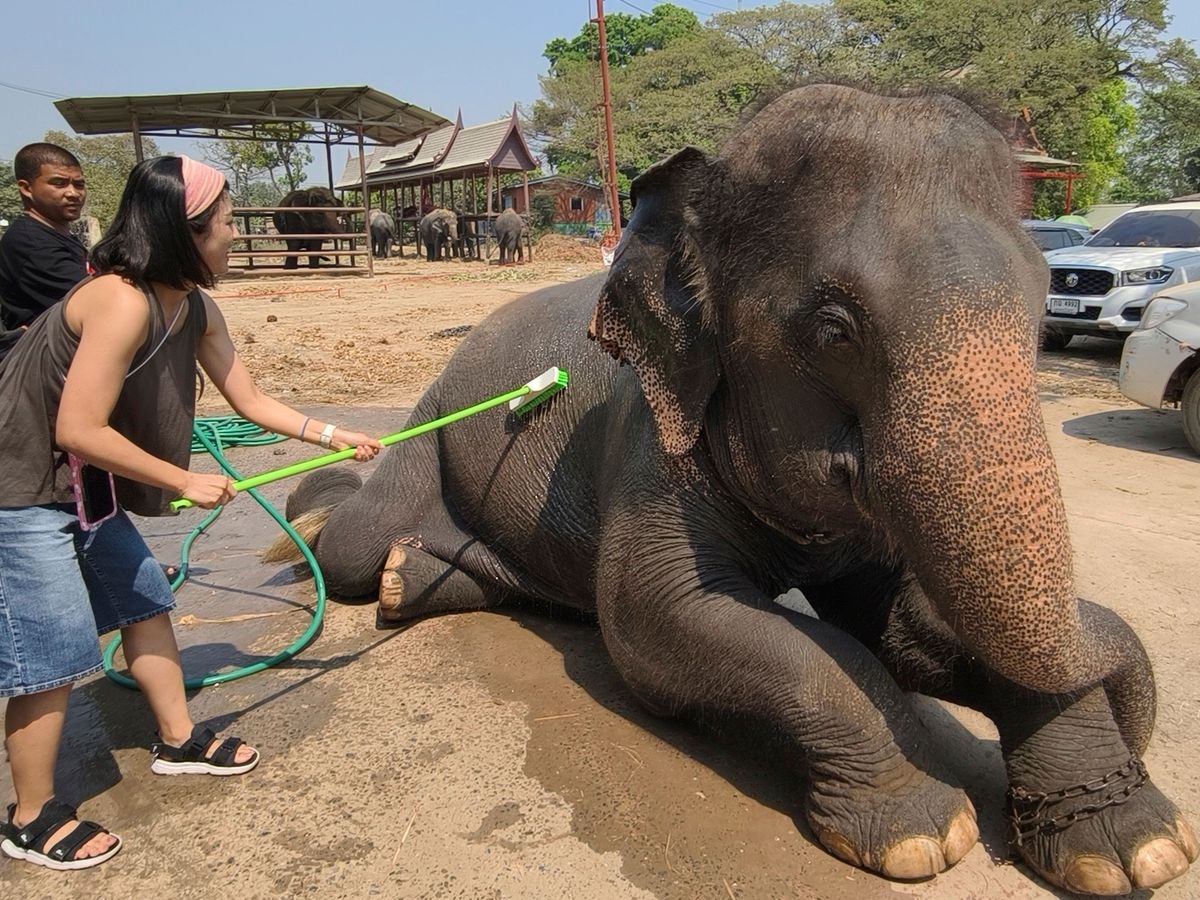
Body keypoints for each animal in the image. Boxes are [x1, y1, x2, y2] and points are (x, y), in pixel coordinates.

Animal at [272, 85, 1197, 894]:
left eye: (1042, 302)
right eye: (834, 331)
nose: (1139, 711)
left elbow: (907, 626)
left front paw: (1132, 846)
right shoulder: (651, 443)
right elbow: (662, 617)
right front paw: (922, 829)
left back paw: (409, 576)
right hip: (431, 419)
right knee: (352, 546)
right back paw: (322, 517)